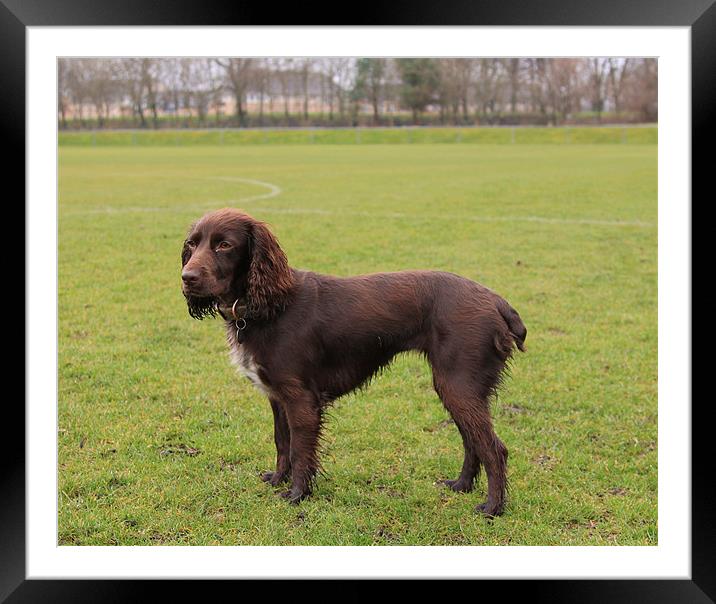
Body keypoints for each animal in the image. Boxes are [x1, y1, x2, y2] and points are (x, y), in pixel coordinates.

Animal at [180, 208, 524, 516]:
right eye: (192, 245)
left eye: (225, 245)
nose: (187, 278)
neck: (269, 305)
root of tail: (496, 301)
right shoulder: (277, 397)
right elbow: (282, 443)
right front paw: (278, 479)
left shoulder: (301, 399)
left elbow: (300, 449)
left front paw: (297, 494)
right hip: (457, 389)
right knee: (472, 441)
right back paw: (461, 486)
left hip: (457, 385)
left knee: (493, 448)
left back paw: (492, 508)